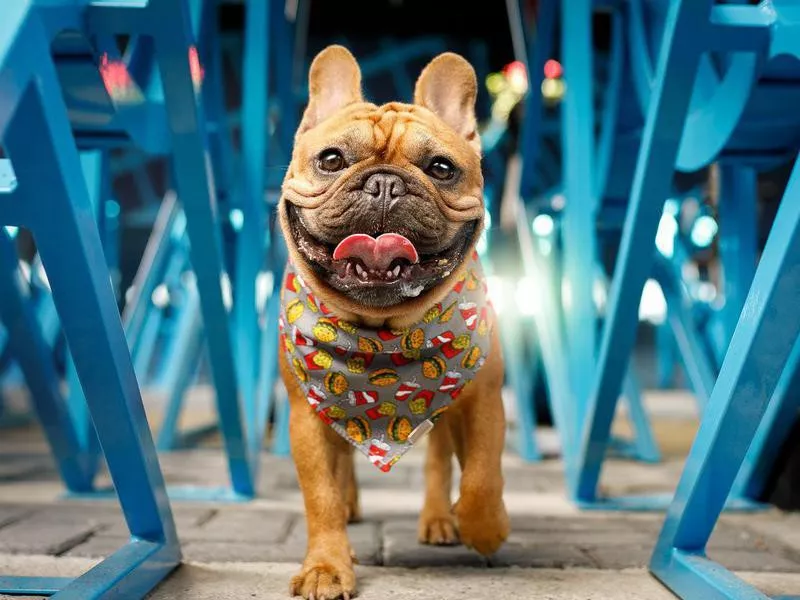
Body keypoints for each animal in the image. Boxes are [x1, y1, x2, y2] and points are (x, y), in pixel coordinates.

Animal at [278, 44, 510, 596]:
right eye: (332, 160)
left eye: (442, 168)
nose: (385, 183)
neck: (381, 335)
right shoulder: (306, 415)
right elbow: (320, 494)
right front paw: (326, 565)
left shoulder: (482, 399)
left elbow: (481, 477)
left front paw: (486, 528)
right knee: (344, 465)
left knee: (439, 463)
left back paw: (440, 520)